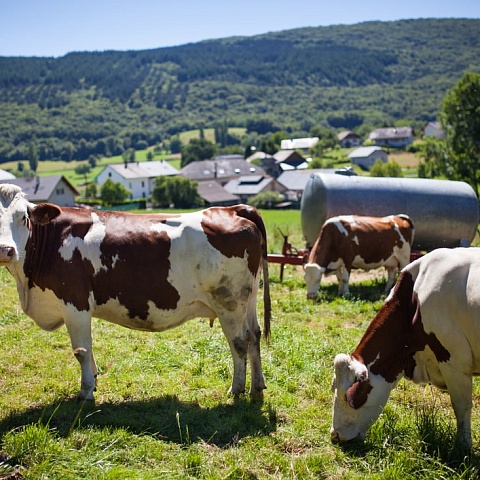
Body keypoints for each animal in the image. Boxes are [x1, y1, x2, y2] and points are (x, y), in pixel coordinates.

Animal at [0, 184, 270, 402]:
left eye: (23, 217)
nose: (5, 250)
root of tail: (233, 208)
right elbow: (89, 350)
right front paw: (94, 380)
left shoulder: (74, 303)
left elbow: (81, 351)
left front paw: (86, 391)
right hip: (248, 298)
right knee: (255, 335)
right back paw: (257, 387)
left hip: (229, 301)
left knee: (240, 341)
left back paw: (237, 389)